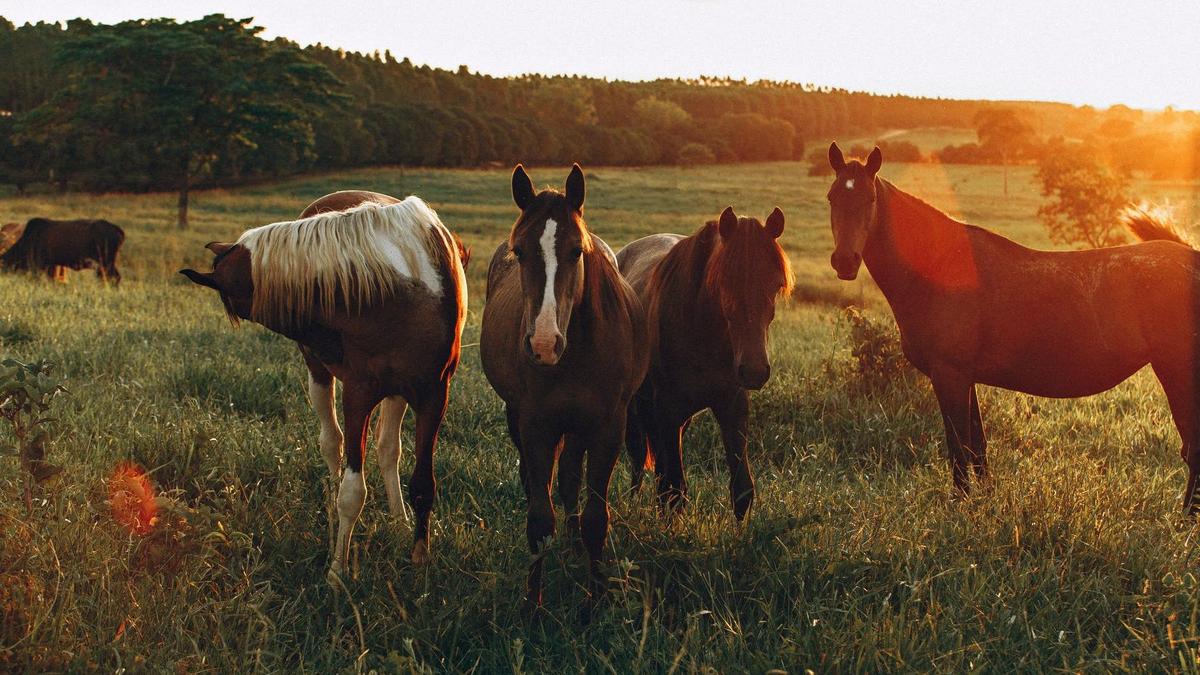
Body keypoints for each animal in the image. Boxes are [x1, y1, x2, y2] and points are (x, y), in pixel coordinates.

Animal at [177, 190, 468, 578]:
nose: (319, 340)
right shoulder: (358, 394)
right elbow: (352, 491)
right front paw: (337, 571)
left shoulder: (433, 394)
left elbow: (423, 483)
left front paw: (419, 560)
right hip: (321, 377)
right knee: (333, 444)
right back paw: (333, 514)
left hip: (398, 393)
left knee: (387, 450)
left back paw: (398, 519)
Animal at [477, 164, 648, 614]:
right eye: (520, 252)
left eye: (576, 251)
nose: (542, 343)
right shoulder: (536, 426)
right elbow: (539, 518)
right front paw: (532, 604)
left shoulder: (607, 428)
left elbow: (595, 518)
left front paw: (596, 598)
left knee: (571, 476)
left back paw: (573, 547)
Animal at [619, 207, 796, 516]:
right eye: (724, 281)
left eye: (776, 285)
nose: (754, 371)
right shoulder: (667, 408)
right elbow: (675, 490)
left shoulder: (732, 405)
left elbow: (742, 490)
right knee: (639, 457)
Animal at [825, 141, 1200, 509]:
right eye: (832, 197)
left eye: (870, 199)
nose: (844, 261)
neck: (940, 268)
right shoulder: (965, 377)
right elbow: (977, 445)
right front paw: (985, 499)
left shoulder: (949, 375)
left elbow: (958, 446)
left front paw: (961, 504)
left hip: (1177, 373)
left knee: (1193, 449)